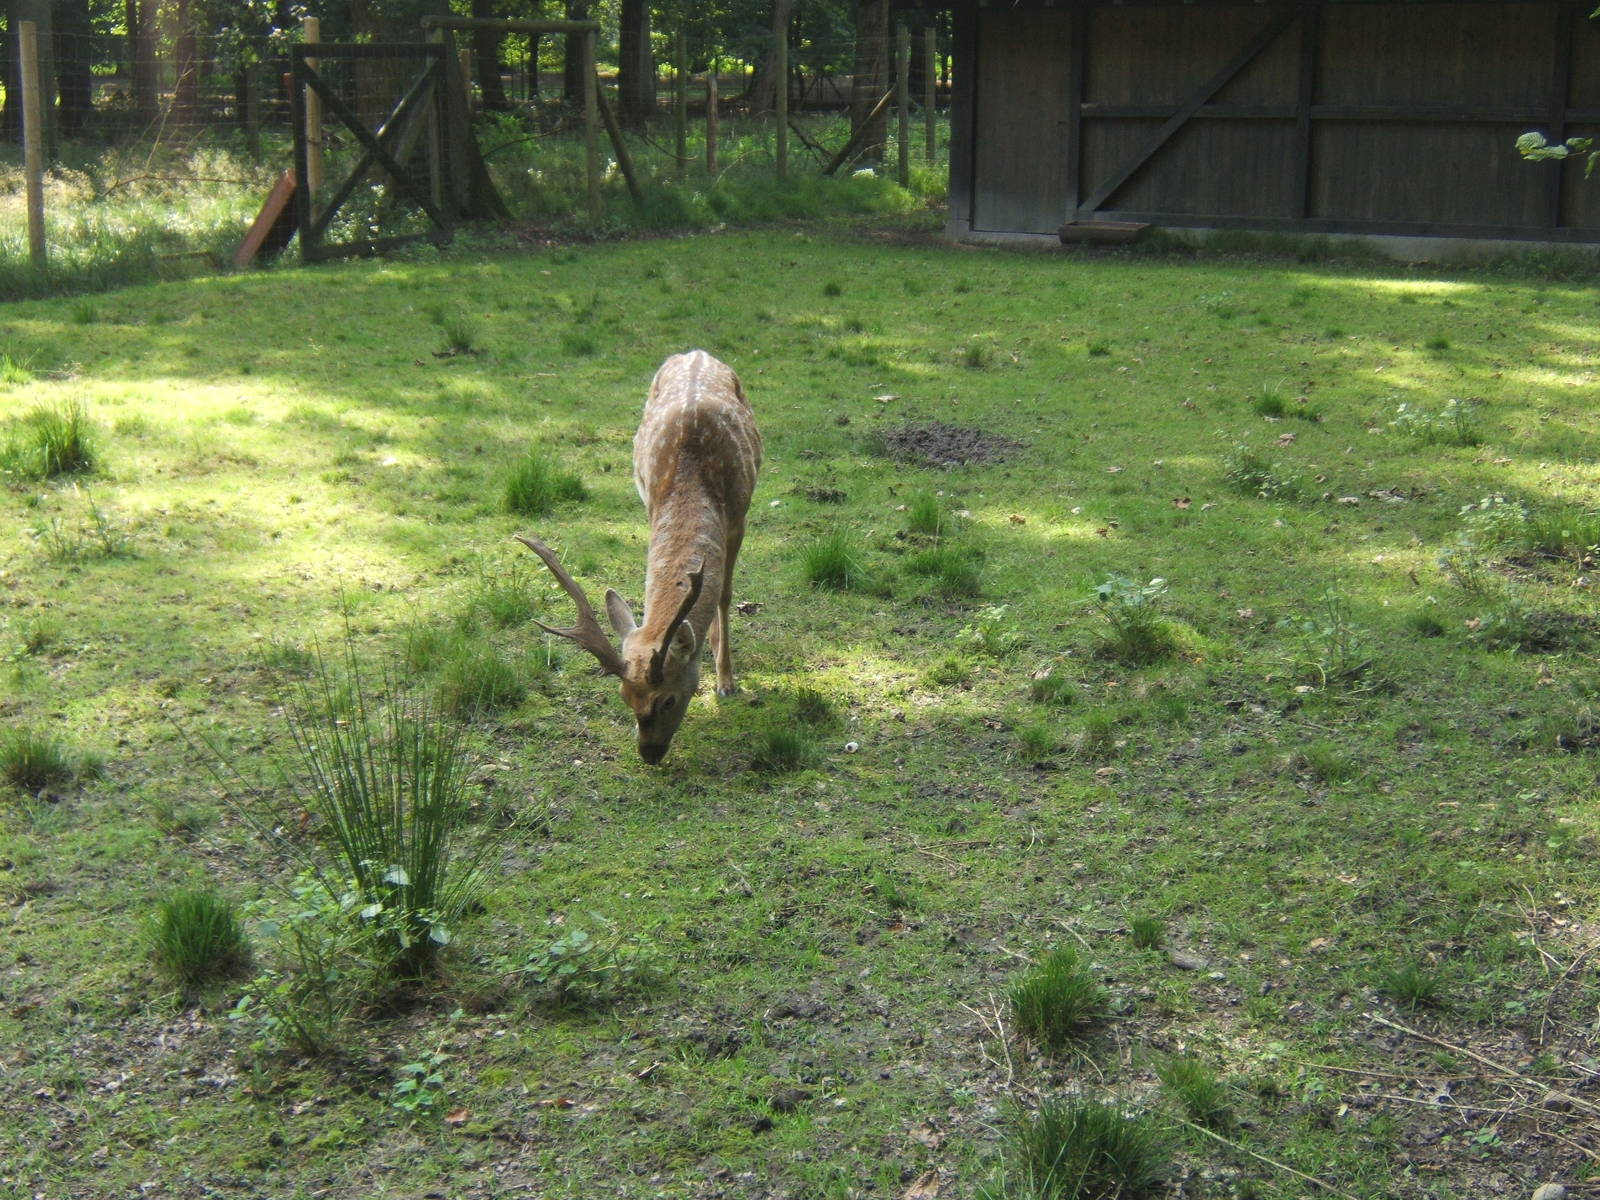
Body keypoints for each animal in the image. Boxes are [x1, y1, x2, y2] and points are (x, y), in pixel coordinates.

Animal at [516, 350, 762, 765]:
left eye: (669, 700)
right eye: (624, 697)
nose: (648, 754)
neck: (695, 473)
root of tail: (696, 352)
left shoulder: (739, 516)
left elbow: (726, 596)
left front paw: (726, 682)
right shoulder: (650, 504)